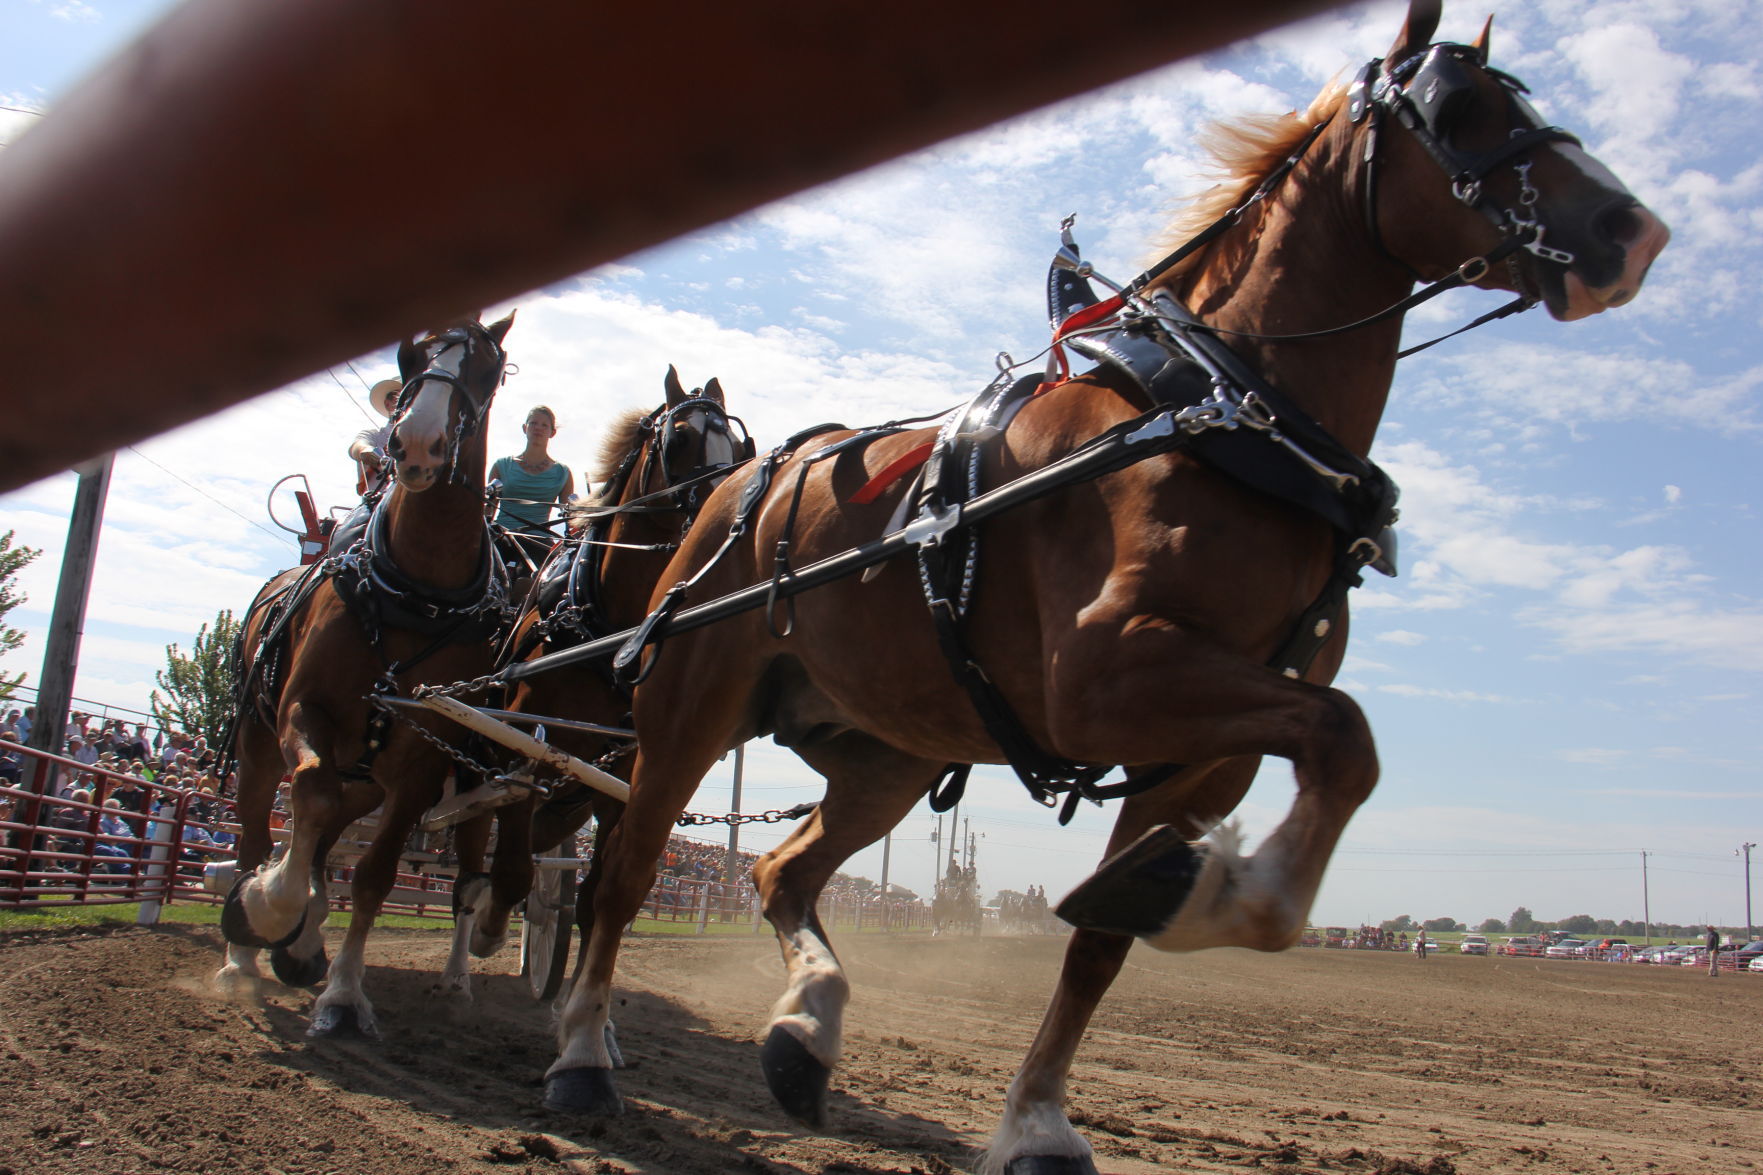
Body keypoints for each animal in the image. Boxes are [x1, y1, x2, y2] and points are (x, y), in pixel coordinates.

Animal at [215, 314, 514, 1037]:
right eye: (410, 357)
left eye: (489, 368)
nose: (418, 441)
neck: (416, 591)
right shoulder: (304, 711)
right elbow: (309, 802)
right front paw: (268, 910)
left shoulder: (420, 758)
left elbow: (375, 874)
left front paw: (343, 993)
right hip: (258, 742)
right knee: (259, 831)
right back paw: (244, 957)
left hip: (384, 775)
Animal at [440, 366, 751, 995]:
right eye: (680, 438)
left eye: (735, 445)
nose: (725, 509)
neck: (609, 629)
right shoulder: (526, 744)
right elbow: (510, 870)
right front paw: (492, 927)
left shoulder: (621, 776)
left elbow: (594, 897)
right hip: (478, 765)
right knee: (470, 865)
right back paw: (461, 962)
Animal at [546, 4, 1664, 1164]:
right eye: (1457, 108)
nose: (1630, 231)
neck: (1222, 415)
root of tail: (741, 482)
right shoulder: (1102, 680)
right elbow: (1344, 732)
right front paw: (1219, 895)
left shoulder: (1200, 751)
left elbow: (1104, 940)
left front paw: (1042, 1107)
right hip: (687, 711)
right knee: (623, 873)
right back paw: (584, 1053)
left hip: (886, 753)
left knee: (782, 873)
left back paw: (803, 1030)